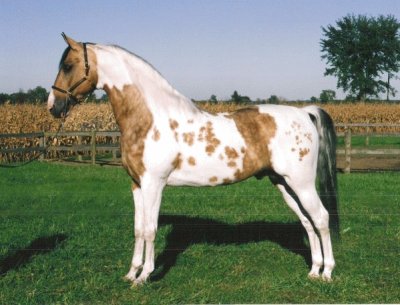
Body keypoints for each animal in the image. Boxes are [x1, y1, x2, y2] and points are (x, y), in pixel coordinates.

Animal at [48, 34, 340, 284]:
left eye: (68, 65)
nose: (53, 106)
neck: (150, 119)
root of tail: (304, 113)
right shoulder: (137, 185)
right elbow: (138, 229)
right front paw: (131, 273)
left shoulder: (154, 184)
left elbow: (151, 229)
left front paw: (145, 276)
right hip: (283, 183)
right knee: (307, 221)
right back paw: (314, 270)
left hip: (301, 183)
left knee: (321, 218)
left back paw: (327, 272)